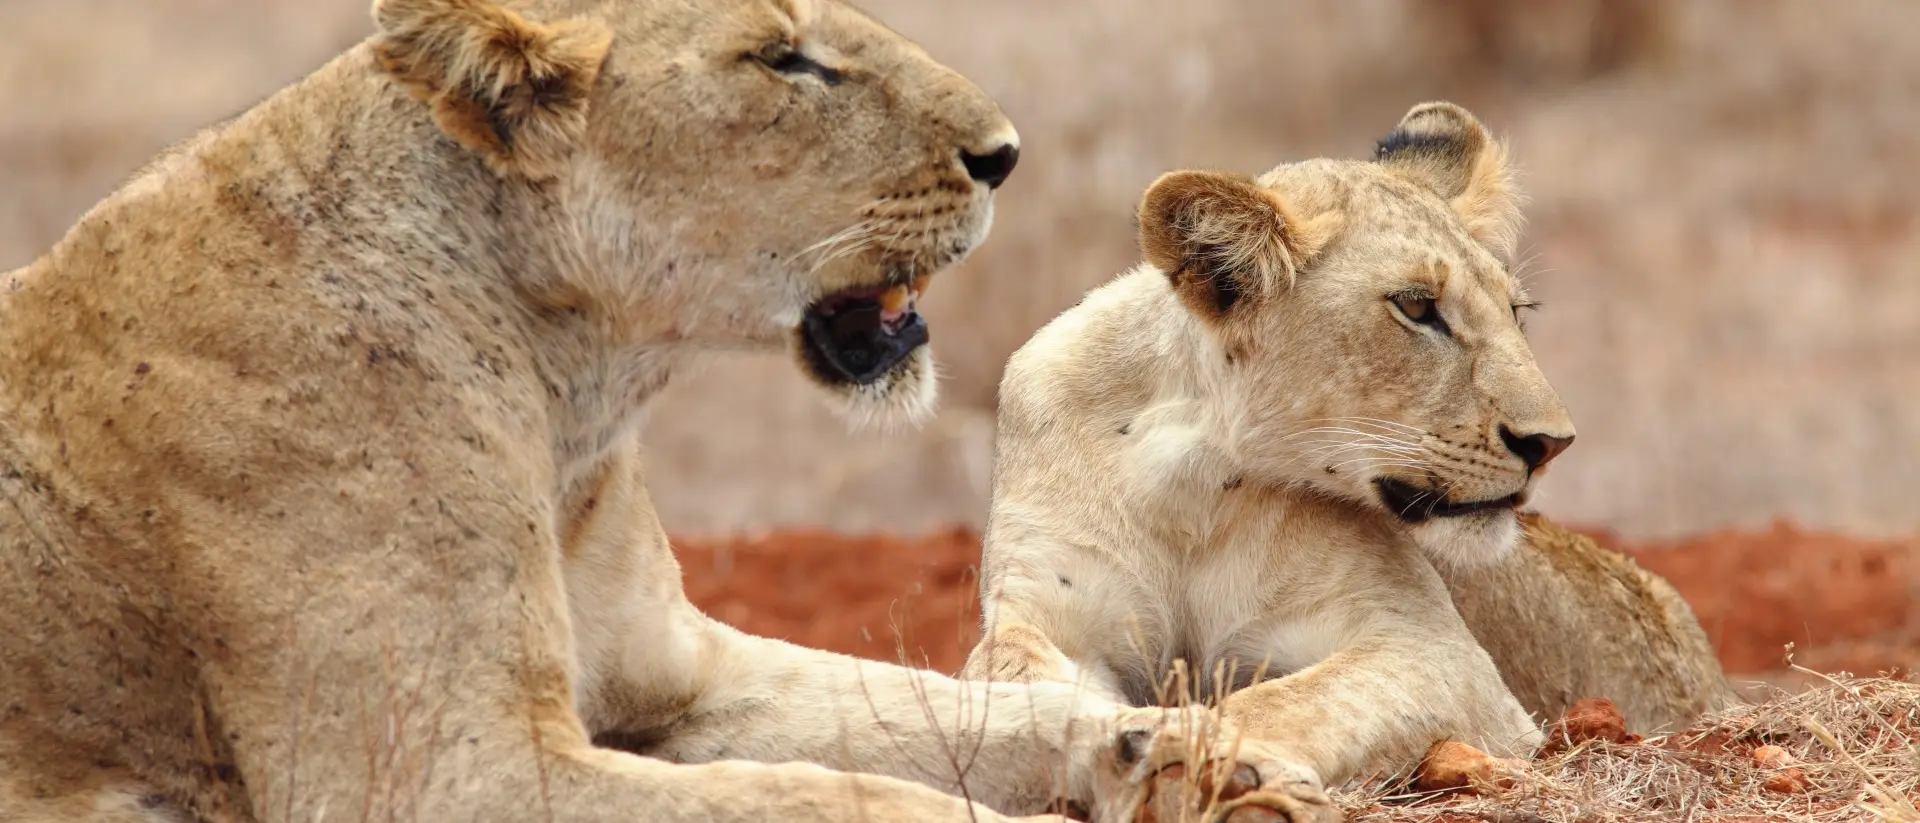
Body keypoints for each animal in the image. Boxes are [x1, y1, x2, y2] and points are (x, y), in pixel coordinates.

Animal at [0, 1, 1313, 822]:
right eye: (783, 59)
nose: (1005, 154)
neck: (572, 392)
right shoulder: (441, 771)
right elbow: (823, 794)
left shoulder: (685, 676)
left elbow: (941, 707)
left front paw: (1184, 750)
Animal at [963, 102, 1740, 793]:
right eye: (1417, 306)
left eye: (1516, 312)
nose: (1551, 442)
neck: (1188, 483)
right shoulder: (1045, 613)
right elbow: (1014, 679)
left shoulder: (1434, 651)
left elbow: (1285, 699)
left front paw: (1183, 747)